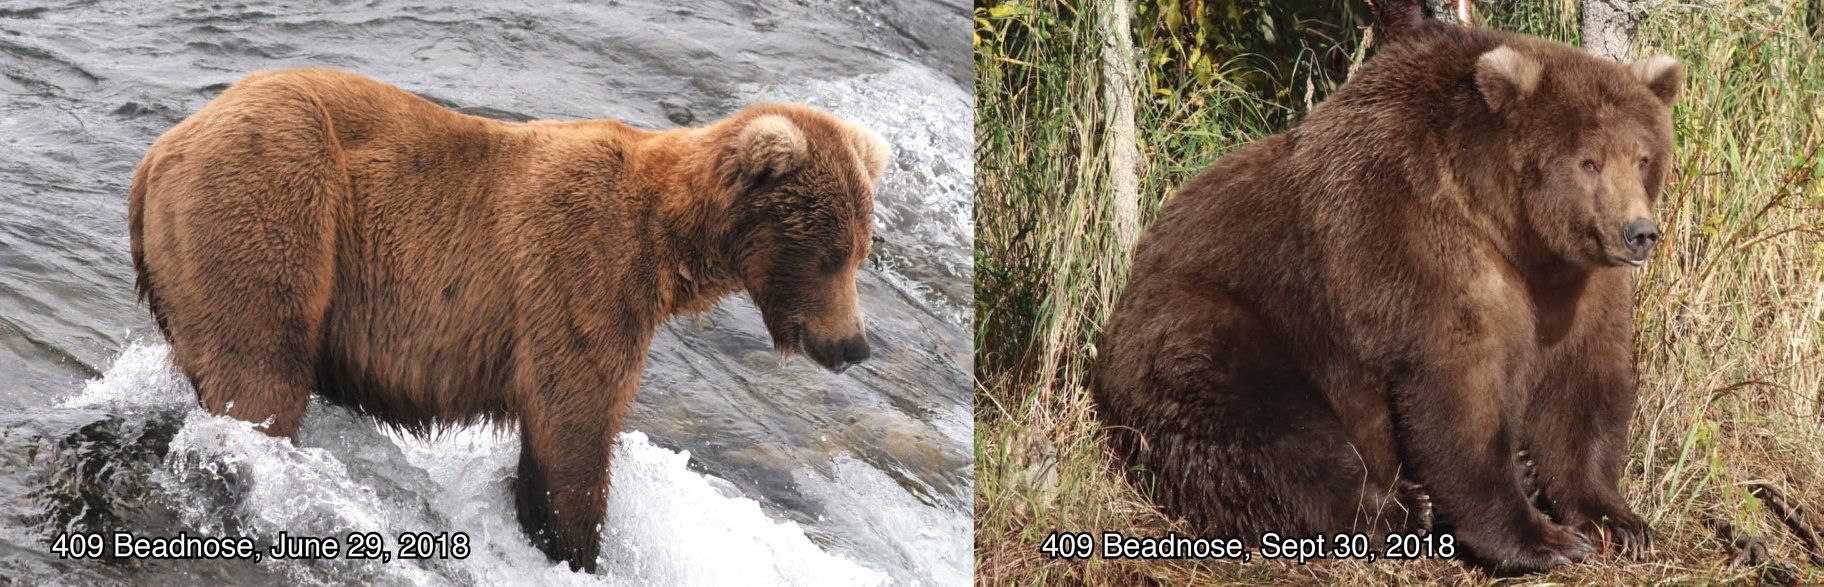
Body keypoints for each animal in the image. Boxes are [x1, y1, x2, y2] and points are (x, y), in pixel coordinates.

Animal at [127, 68, 890, 572]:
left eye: (861, 250)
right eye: (830, 255)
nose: (854, 344)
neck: (670, 244)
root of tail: (158, 154)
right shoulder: (580, 276)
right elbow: (574, 429)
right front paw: (578, 547)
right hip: (274, 201)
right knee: (259, 377)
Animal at [1091, 20, 1680, 574]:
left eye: (1643, 157)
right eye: (1589, 161)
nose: (1639, 233)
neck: (1512, 231)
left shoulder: (1577, 286)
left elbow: (1582, 388)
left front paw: (1617, 521)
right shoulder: (1413, 240)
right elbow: (1458, 388)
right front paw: (1541, 539)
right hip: (1215, 322)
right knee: (1270, 429)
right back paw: (1400, 508)